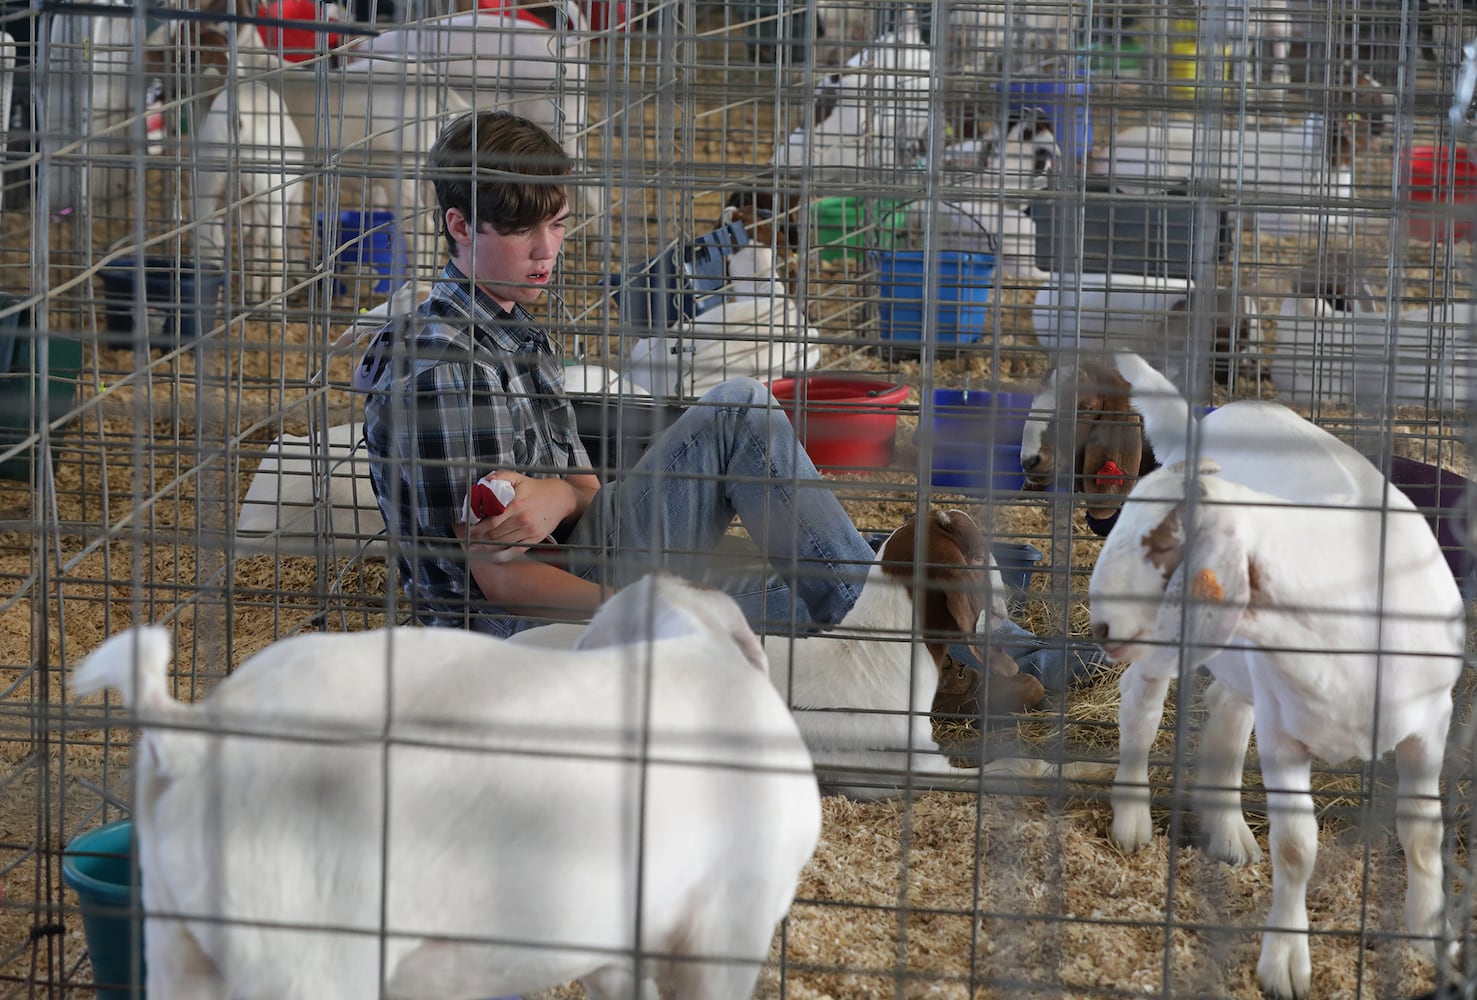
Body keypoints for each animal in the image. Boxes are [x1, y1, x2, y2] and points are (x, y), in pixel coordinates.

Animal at [1092, 460, 1459, 998]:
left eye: (1160, 544)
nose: (1100, 626)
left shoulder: (1429, 725)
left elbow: (1424, 835)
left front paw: (1430, 937)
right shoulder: (1283, 735)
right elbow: (1294, 847)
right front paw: (1285, 960)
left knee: (1227, 714)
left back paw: (1228, 831)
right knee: (1141, 703)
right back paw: (1132, 819)